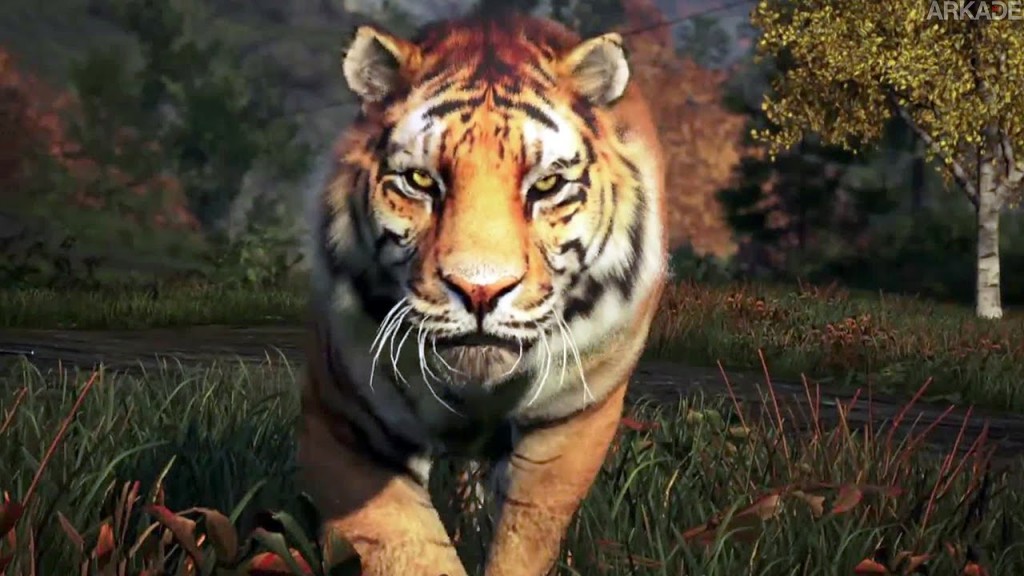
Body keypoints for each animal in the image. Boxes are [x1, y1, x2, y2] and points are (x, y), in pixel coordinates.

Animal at [298, 9, 666, 576]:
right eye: (420, 181)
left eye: (545, 186)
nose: (479, 290)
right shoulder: (344, 425)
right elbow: (409, 550)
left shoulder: (568, 424)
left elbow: (524, 538)